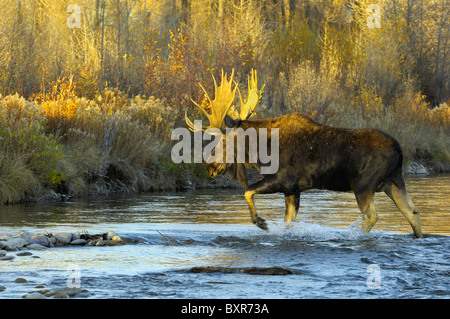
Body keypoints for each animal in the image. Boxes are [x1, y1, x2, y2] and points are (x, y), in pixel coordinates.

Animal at [185, 70, 424, 240]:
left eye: (223, 141)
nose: (210, 168)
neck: (260, 152)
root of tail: (399, 149)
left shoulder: (284, 180)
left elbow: (247, 192)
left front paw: (262, 223)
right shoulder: (293, 190)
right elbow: (288, 222)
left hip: (364, 185)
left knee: (373, 215)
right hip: (393, 182)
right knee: (412, 211)